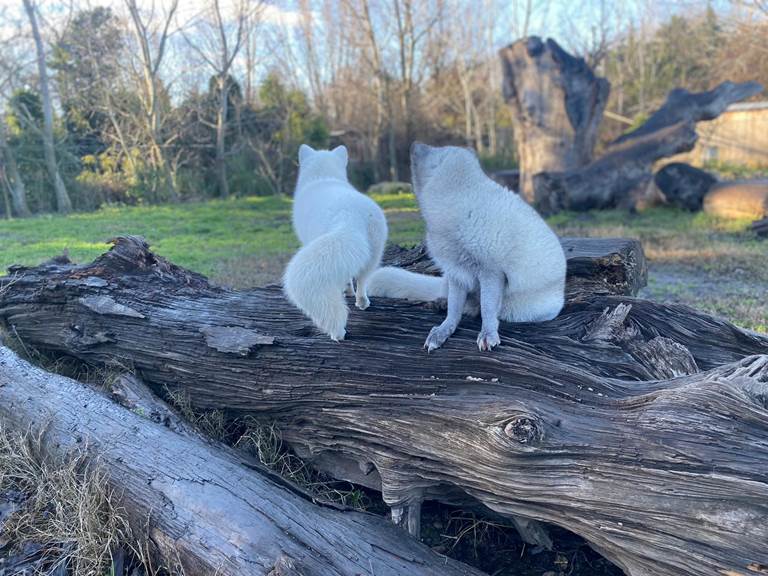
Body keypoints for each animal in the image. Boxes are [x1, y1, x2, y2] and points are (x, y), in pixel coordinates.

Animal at [282, 145, 388, 342]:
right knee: (362, 280)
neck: (323, 176)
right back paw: (362, 302)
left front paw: (346, 292)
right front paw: (350, 292)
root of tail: (349, 216)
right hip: (374, 254)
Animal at [368, 143, 568, 352]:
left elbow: (487, 308)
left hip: (520, 309)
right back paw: (440, 303)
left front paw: (488, 334)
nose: (415, 144)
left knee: (479, 308)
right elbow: (454, 309)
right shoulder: (456, 272)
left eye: (436, 151)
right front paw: (443, 331)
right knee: (456, 300)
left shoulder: (491, 272)